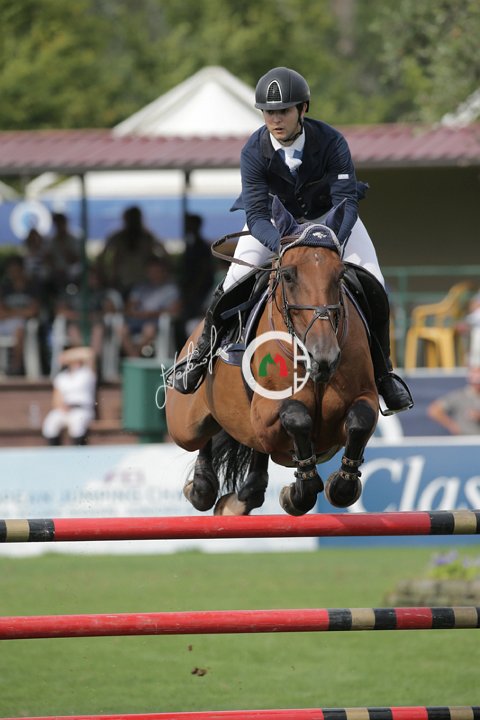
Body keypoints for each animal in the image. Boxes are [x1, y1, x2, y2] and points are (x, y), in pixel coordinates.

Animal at [165, 198, 379, 516]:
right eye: (288, 275)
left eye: (340, 275)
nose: (325, 357)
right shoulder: (265, 414)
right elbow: (296, 417)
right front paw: (298, 492)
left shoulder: (366, 397)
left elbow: (360, 421)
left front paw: (336, 486)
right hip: (184, 425)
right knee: (204, 435)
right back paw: (202, 486)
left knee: (251, 454)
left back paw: (241, 497)